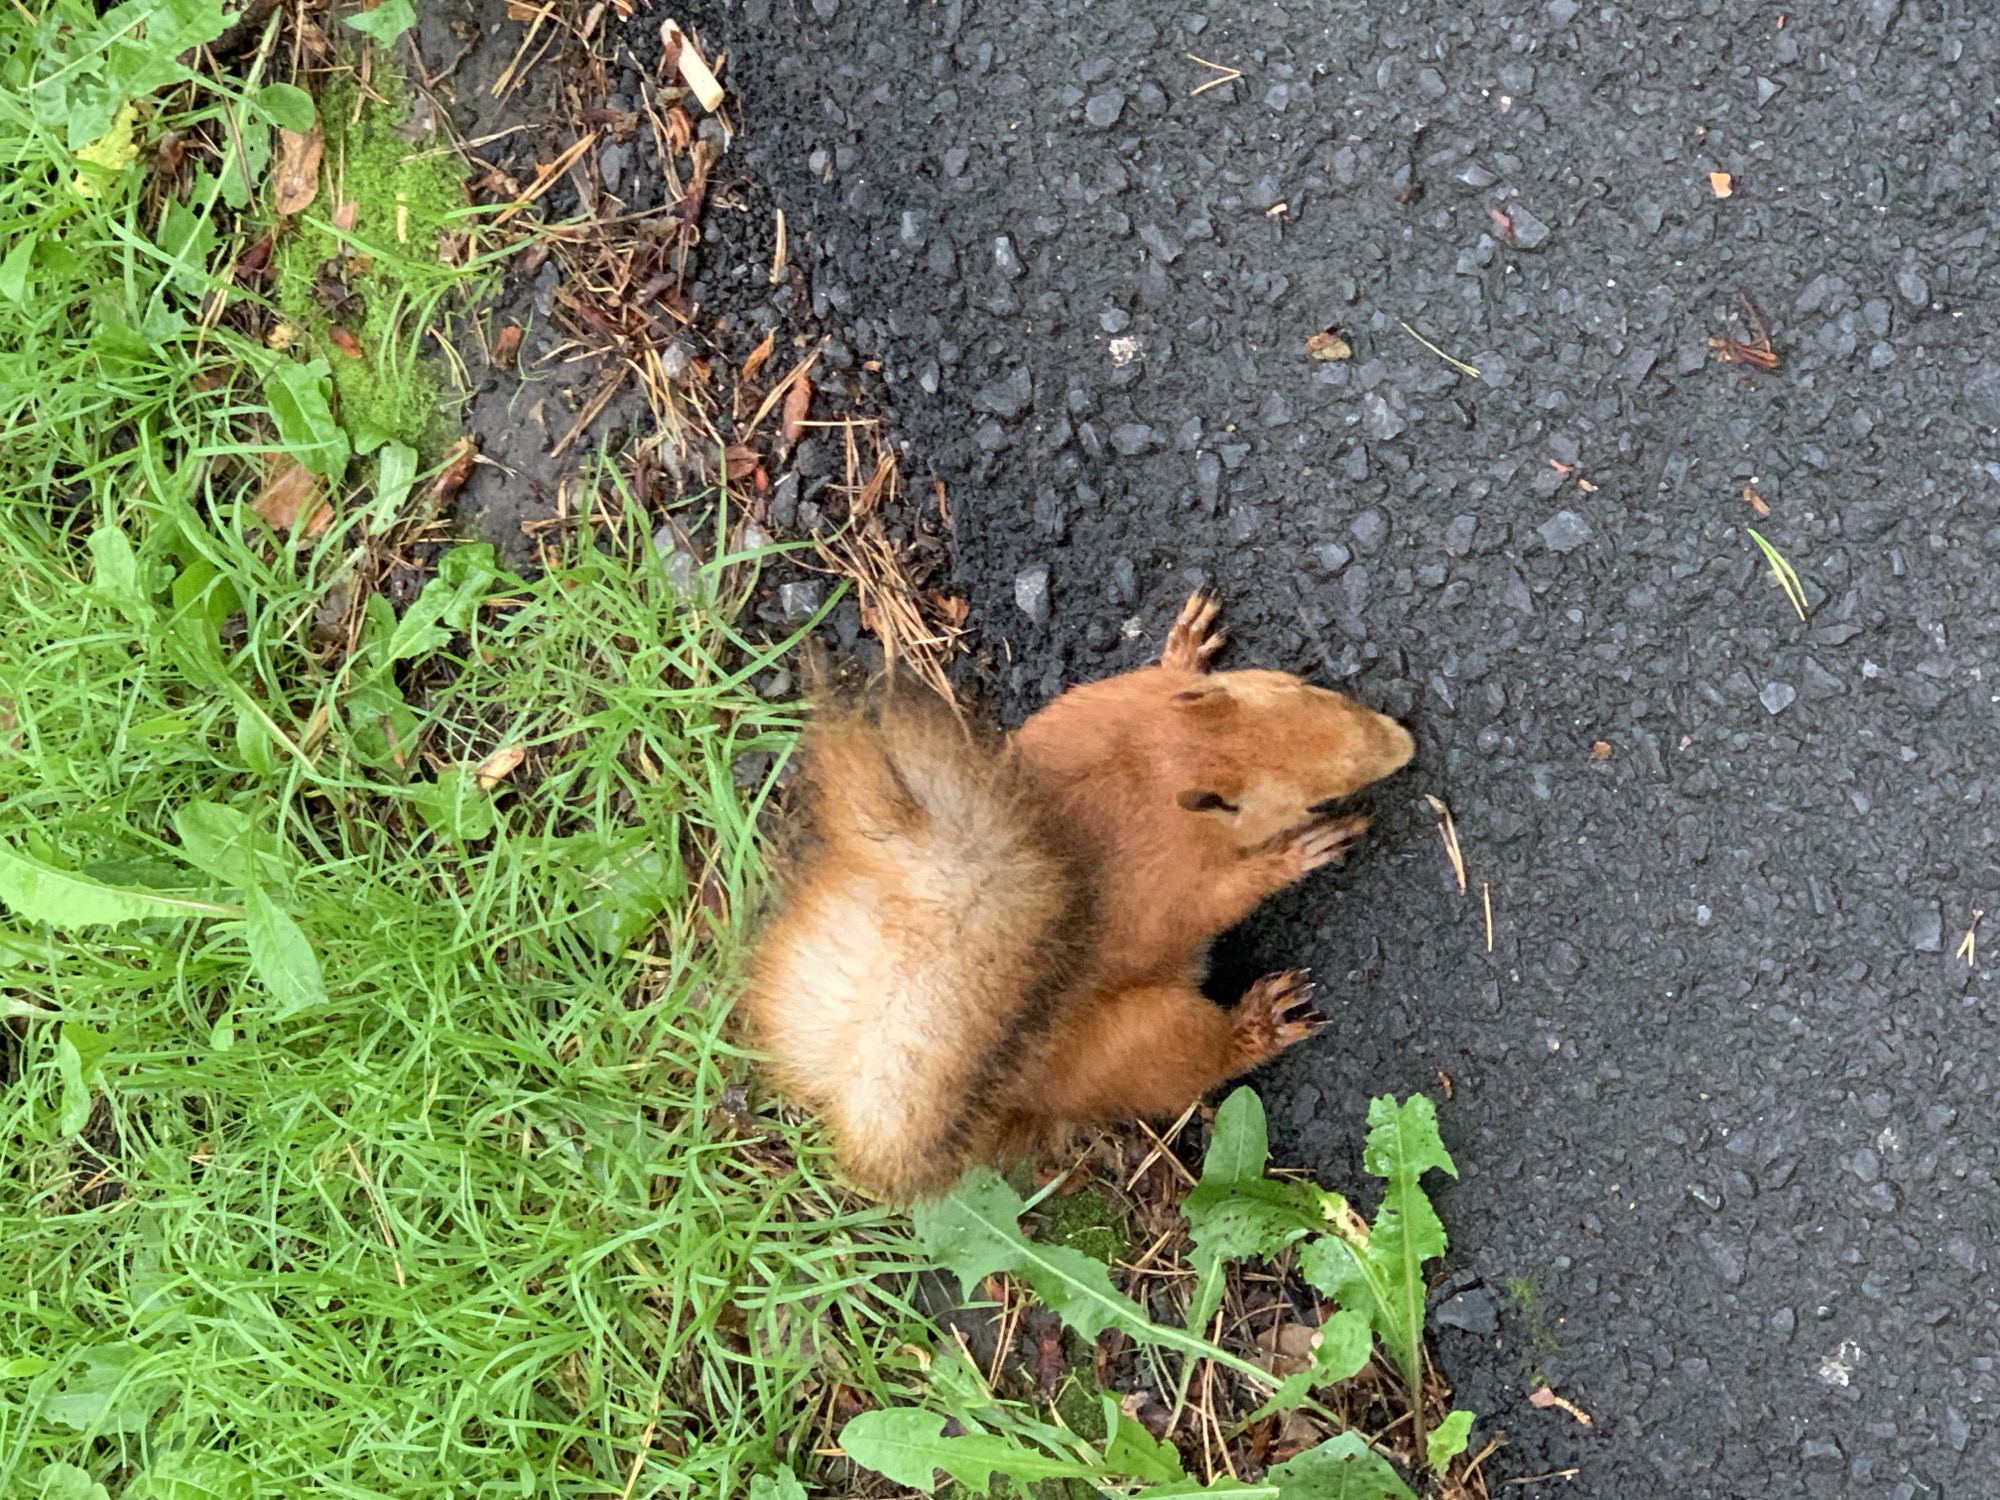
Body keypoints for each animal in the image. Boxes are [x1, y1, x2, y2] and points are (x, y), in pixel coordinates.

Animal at [741, 591, 1415, 1201]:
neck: (1158, 761)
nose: (1404, 743)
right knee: (1197, 1058)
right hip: (1144, 1038)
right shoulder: (1168, 883)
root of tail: (1020, 1090)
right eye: (1315, 799)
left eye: (1308, 691)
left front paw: (1184, 648)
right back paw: (1259, 1024)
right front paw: (1297, 854)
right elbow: (1211, 901)